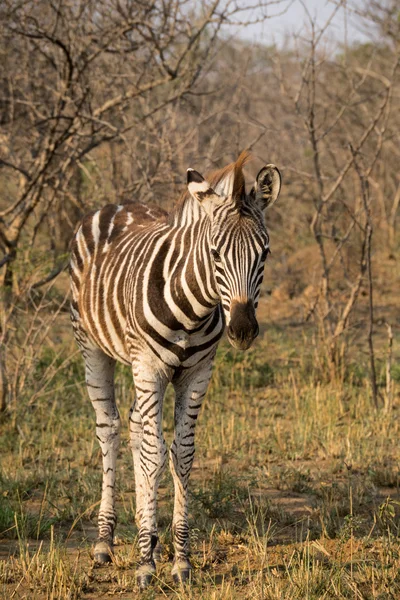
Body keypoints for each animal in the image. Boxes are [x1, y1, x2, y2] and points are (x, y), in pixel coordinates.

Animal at [69, 152, 282, 588]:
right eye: (215, 253)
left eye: (265, 254)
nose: (242, 329)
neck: (193, 309)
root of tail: (116, 203)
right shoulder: (149, 368)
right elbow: (154, 452)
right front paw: (145, 565)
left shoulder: (198, 372)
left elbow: (181, 453)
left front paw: (179, 558)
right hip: (91, 346)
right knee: (110, 428)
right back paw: (105, 541)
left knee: (136, 425)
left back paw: (141, 531)